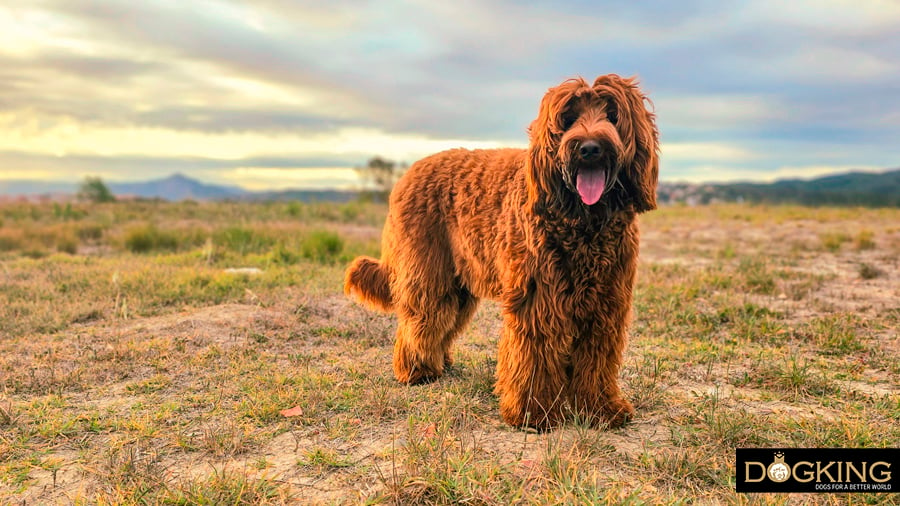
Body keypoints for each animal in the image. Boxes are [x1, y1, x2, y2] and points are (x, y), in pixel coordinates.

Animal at [342, 74, 656, 430]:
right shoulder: (538, 300)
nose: (590, 148)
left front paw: (600, 409)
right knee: (422, 319)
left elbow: (596, 359)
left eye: (612, 115)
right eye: (568, 118)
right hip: (428, 271)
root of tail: (410, 172)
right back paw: (416, 370)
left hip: (459, 284)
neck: (583, 223)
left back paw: (440, 361)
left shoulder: (605, 302)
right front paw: (534, 412)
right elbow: (535, 355)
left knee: (442, 321)